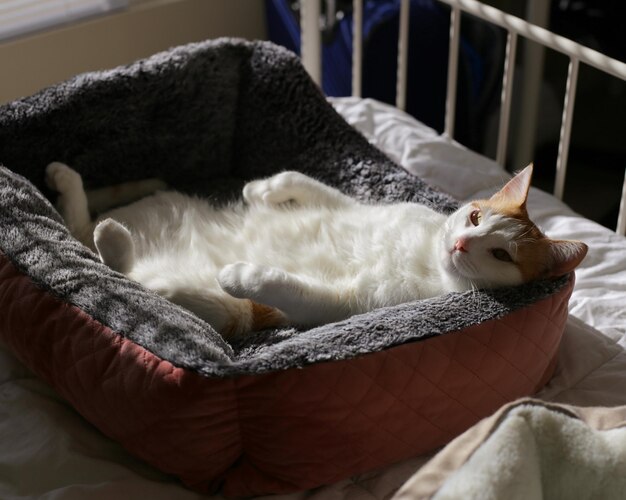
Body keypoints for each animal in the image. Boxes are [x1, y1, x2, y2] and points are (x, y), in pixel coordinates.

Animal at [45, 162, 584, 338]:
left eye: (502, 256)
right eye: (474, 218)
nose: (460, 243)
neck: (425, 259)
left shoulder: (343, 306)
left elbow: (280, 285)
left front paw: (242, 272)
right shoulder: (360, 207)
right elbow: (303, 182)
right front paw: (260, 192)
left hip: (212, 308)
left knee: (121, 270)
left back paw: (111, 240)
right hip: (162, 204)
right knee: (78, 227)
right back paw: (71, 189)